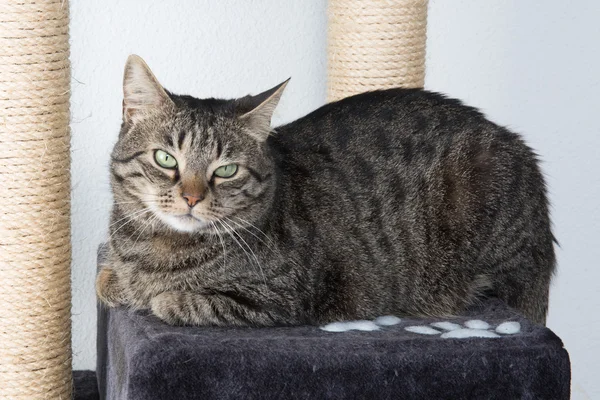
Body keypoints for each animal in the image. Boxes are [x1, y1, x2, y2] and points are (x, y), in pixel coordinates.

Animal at [96, 54, 556, 326]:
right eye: (165, 159)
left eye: (226, 170)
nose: (192, 197)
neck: (157, 248)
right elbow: (107, 277)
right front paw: (118, 281)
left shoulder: (284, 298)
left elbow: (179, 300)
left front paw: (160, 296)